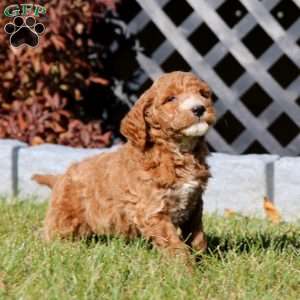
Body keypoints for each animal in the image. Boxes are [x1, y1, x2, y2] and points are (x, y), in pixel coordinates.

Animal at [32, 71, 216, 262]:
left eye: (203, 94)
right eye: (171, 98)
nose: (199, 108)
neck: (178, 151)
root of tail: (59, 178)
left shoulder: (194, 203)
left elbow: (197, 236)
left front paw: (203, 259)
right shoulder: (153, 211)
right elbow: (174, 244)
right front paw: (185, 268)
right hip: (64, 218)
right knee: (52, 234)